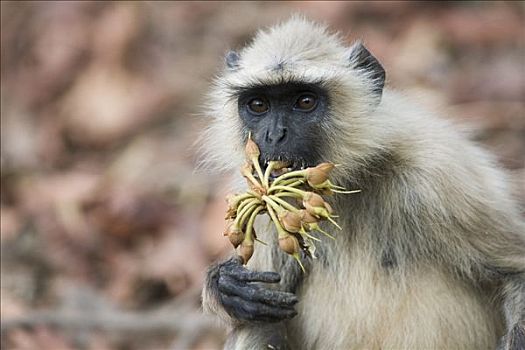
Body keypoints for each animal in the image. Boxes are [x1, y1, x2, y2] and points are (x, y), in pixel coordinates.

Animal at [200, 17, 524, 350]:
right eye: (258, 105)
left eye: (304, 101)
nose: (275, 135)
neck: (347, 184)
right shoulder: (263, 209)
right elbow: (259, 314)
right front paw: (224, 286)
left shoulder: (438, 177)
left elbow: (516, 272)